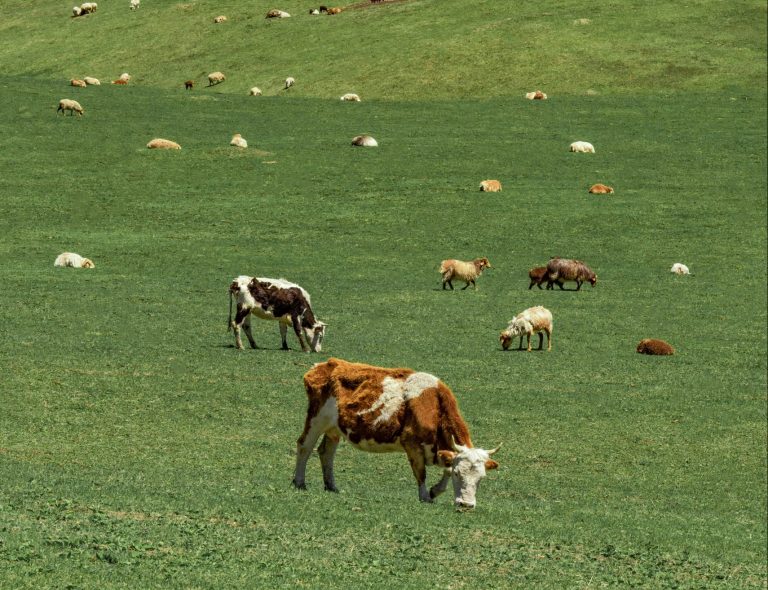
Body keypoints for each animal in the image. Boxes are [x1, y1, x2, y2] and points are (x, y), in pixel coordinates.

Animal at [292, 358, 500, 512]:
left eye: (481, 478)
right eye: (459, 474)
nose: (466, 505)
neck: (434, 405)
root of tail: (324, 364)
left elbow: (445, 469)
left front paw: (435, 491)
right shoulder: (412, 444)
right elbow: (421, 473)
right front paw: (425, 496)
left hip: (334, 429)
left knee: (326, 452)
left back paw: (331, 486)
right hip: (316, 419)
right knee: (304, 446)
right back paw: (299, 482)